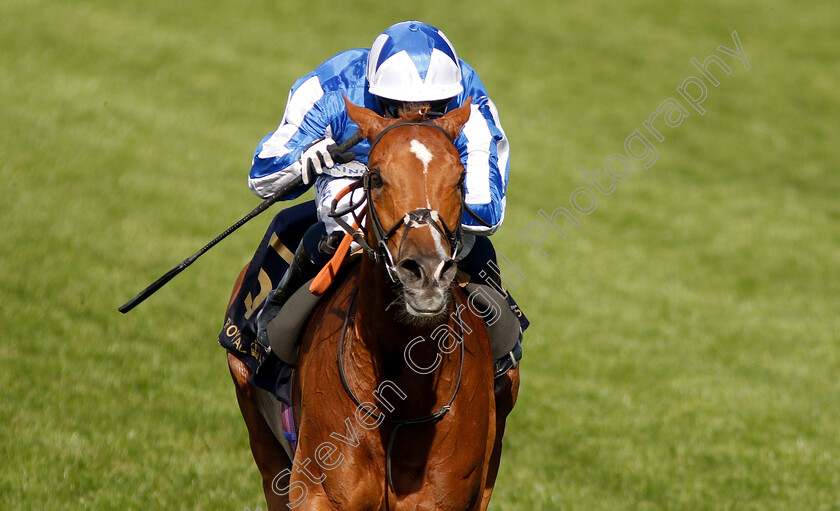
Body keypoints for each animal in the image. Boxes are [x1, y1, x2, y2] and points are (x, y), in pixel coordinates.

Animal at [228, 98, 520, 510]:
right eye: (377, 177)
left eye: (460, 178)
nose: (426, 272)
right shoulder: (317, 491)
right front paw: (316, 155)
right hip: (265, 446)